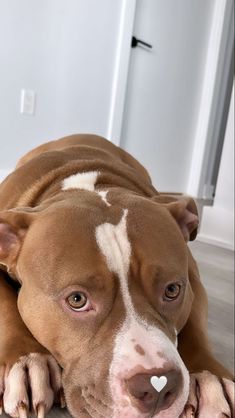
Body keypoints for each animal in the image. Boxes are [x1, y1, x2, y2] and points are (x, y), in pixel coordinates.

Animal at [0, 135, 233, 418]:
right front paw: (27, 361)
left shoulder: (193, 281)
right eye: (77, 299)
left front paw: (210, 376)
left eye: (172, 290)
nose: (157, 386)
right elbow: (6, 305)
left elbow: (195, 325)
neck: (87, 184)